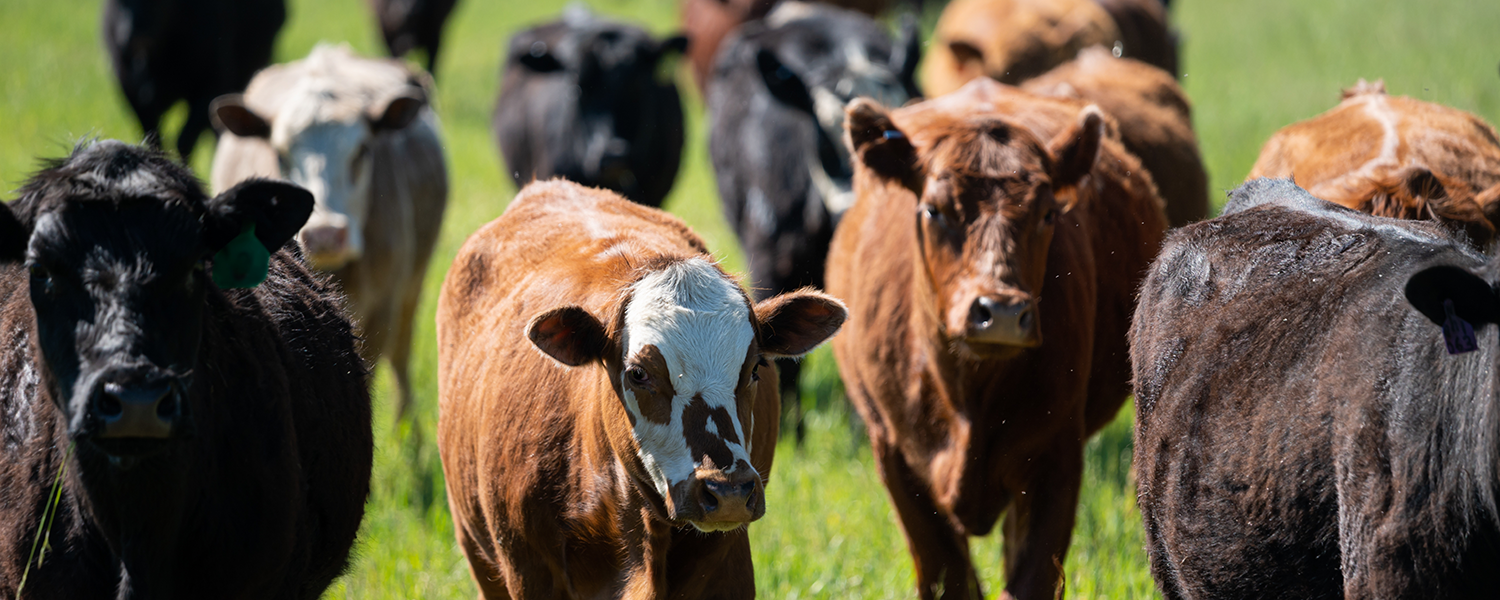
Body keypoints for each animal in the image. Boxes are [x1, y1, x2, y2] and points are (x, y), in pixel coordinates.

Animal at [102, 0, 285, 162]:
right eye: (119, 1)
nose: (134, 35)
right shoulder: (132, 94)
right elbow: (154, 142)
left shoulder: (212, 87)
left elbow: (184, 141)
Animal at [210, 43, 448, 418]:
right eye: (280, 153)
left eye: (362, 150)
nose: (324, 235)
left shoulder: (384, 304)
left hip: (414, 282)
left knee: (402, 349)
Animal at [826, 77, 1168, 599]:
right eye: (934, 210)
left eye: (1048, 214)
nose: (1002, 312)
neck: (966, 397)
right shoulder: (894, 452)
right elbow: (948, 575)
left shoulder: (1056, 455)